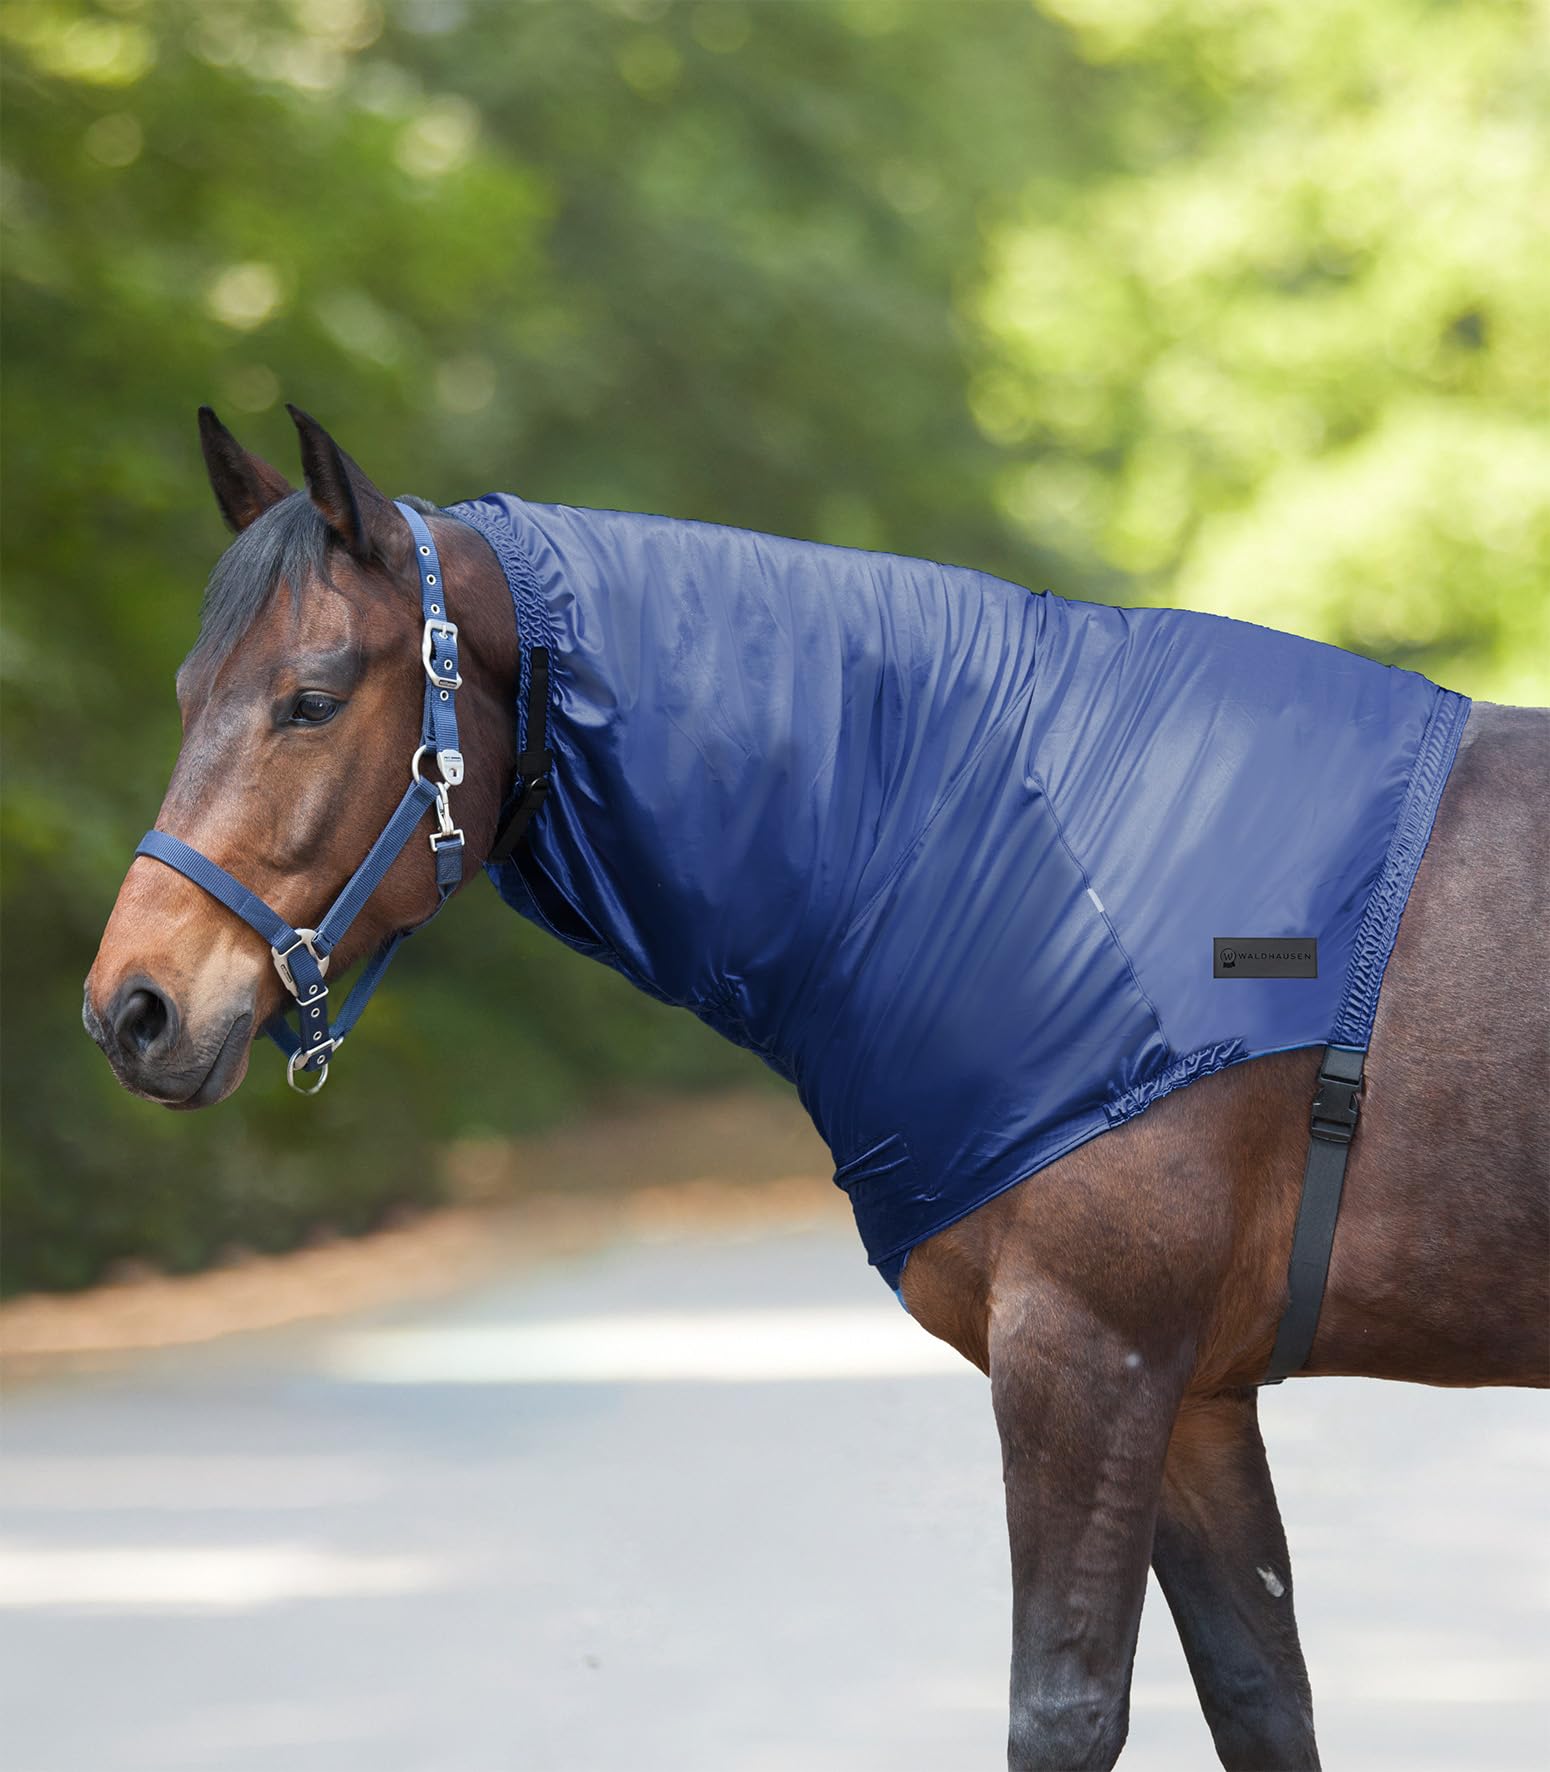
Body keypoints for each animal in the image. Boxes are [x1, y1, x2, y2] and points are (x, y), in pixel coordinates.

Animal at [84, 406, 1548, 1770]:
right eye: (184, 690)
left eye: (313, 697)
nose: (132, 1008)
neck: (1021, 837)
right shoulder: (1192, 1396)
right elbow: (1259, 1697)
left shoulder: (1089, 1359)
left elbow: (1062, 1710)